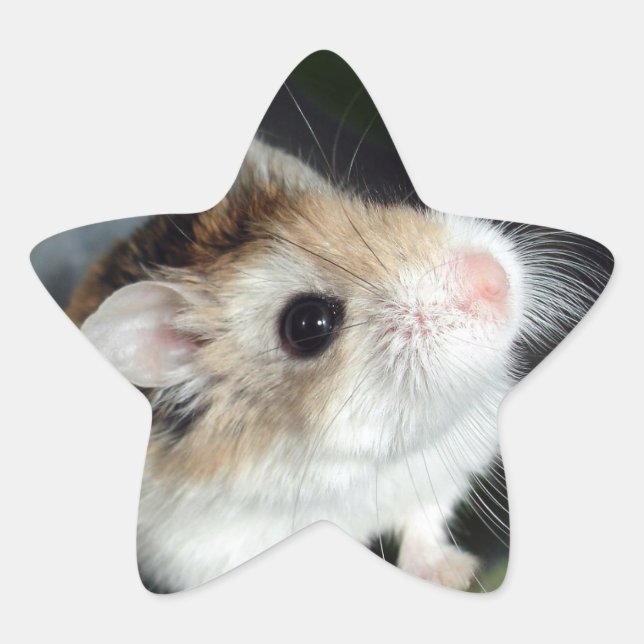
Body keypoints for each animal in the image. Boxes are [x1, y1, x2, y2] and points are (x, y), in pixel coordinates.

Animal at [67, 138, 610, 593]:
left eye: (370, 203)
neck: (366, 457)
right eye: (308, 325)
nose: (494, 280)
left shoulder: (446, 470)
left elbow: (425, 522)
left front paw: (452, 573)